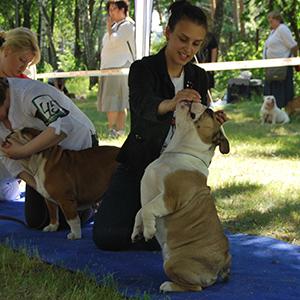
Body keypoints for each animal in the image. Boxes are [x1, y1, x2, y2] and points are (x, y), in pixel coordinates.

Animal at [131, 102, 232, 292]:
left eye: (209, 112)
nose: (199, 102)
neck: (178, 151)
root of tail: (223, 263)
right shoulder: (150, 196)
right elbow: (140, 211)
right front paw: (137, 231)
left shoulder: (169, 199)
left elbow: (147, 209)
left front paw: (148, 231)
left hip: (172, 263)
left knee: (195, 287)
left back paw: (168, 286)